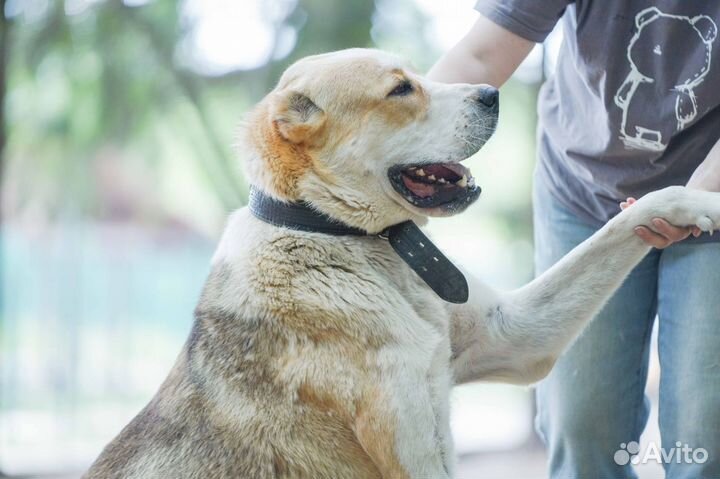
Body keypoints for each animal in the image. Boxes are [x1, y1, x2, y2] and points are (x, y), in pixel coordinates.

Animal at [84, 49, 720, 479]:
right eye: (399, 91)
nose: (492, 93)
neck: (344, 238)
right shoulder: (411, 447)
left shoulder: (512, 336)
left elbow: (621, 226)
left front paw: (692, 203)